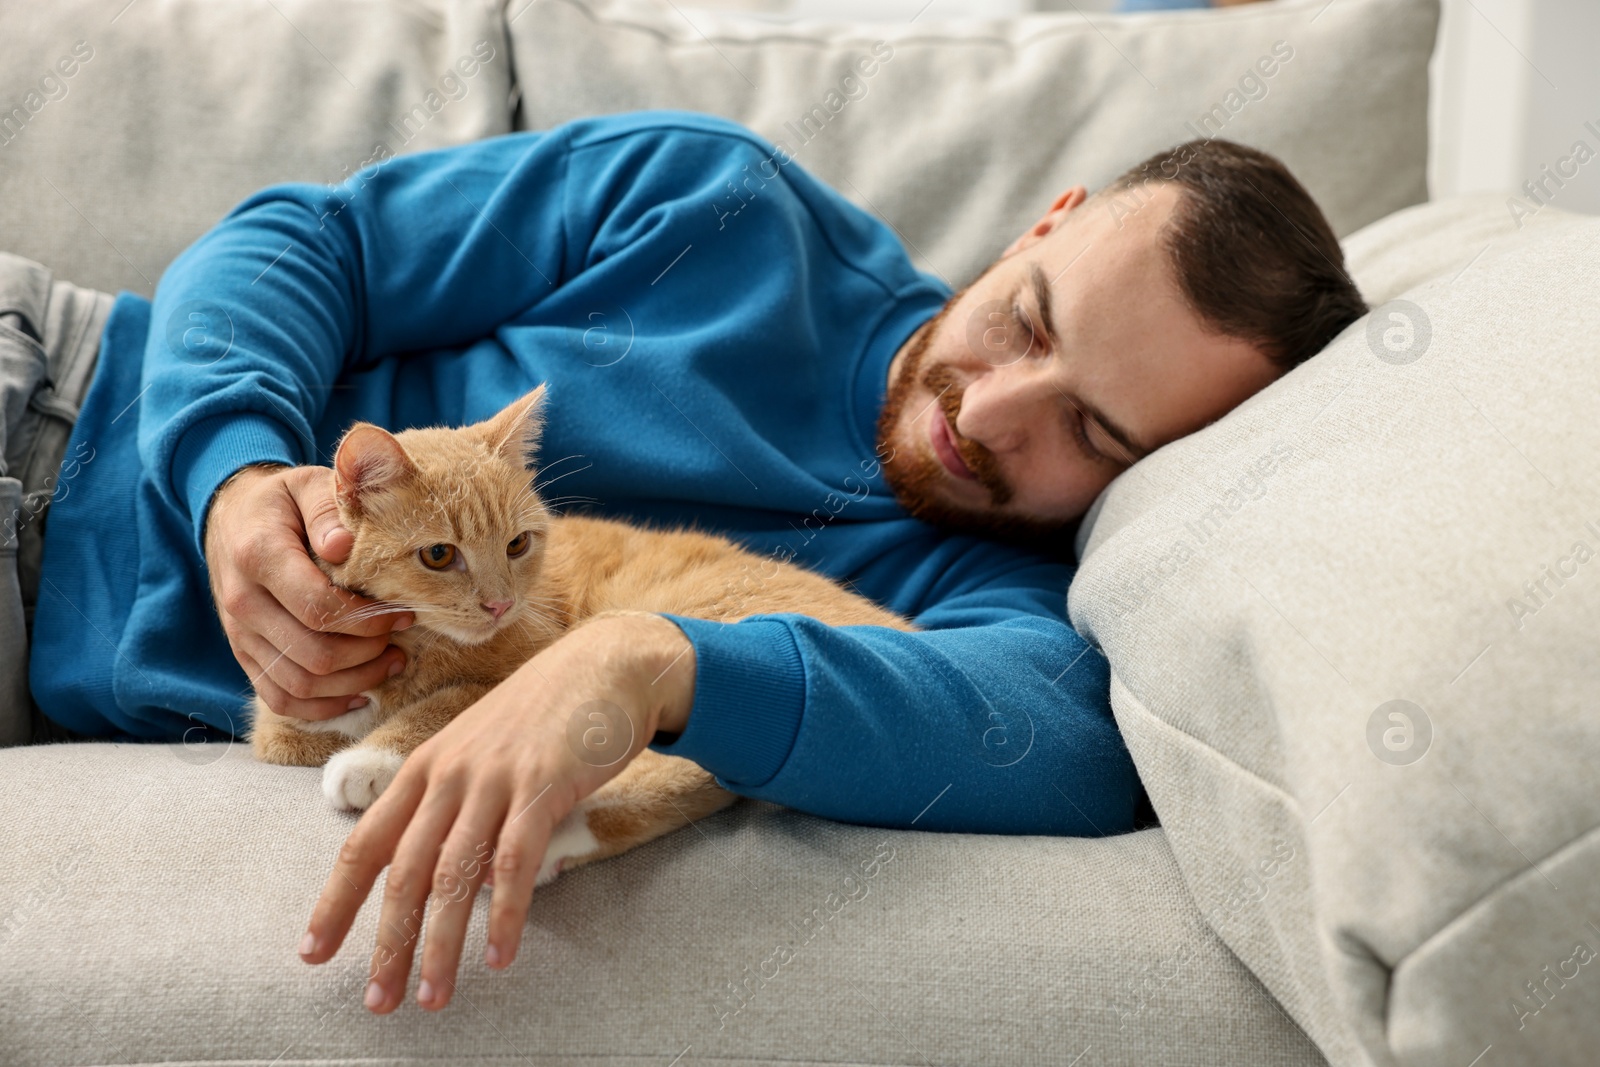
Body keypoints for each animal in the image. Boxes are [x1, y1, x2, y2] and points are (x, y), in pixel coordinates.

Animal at [246, 383, 915, 883]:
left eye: (517, 544)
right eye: (438, 554)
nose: (500, 604)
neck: (417, 642)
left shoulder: (526, 665)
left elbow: (450, 703)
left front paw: (371, 758)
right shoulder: (284, 719)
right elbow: (321, 724)